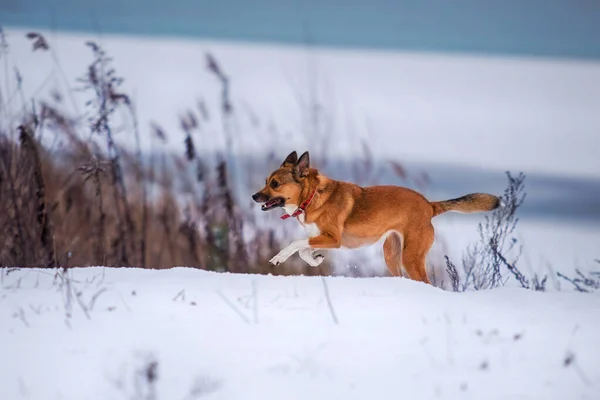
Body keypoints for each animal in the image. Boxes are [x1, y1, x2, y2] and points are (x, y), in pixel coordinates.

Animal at [253, 151, 502, 284]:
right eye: (265, 181)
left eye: (275, 184)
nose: (254, 196)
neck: (311, 196)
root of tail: (429, 206)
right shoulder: (320, 237)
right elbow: (303, 250)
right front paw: (316, 259)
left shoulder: (334, 238)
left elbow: (296, 243)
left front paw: (279, 257)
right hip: (391, 254)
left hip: (411, 256)